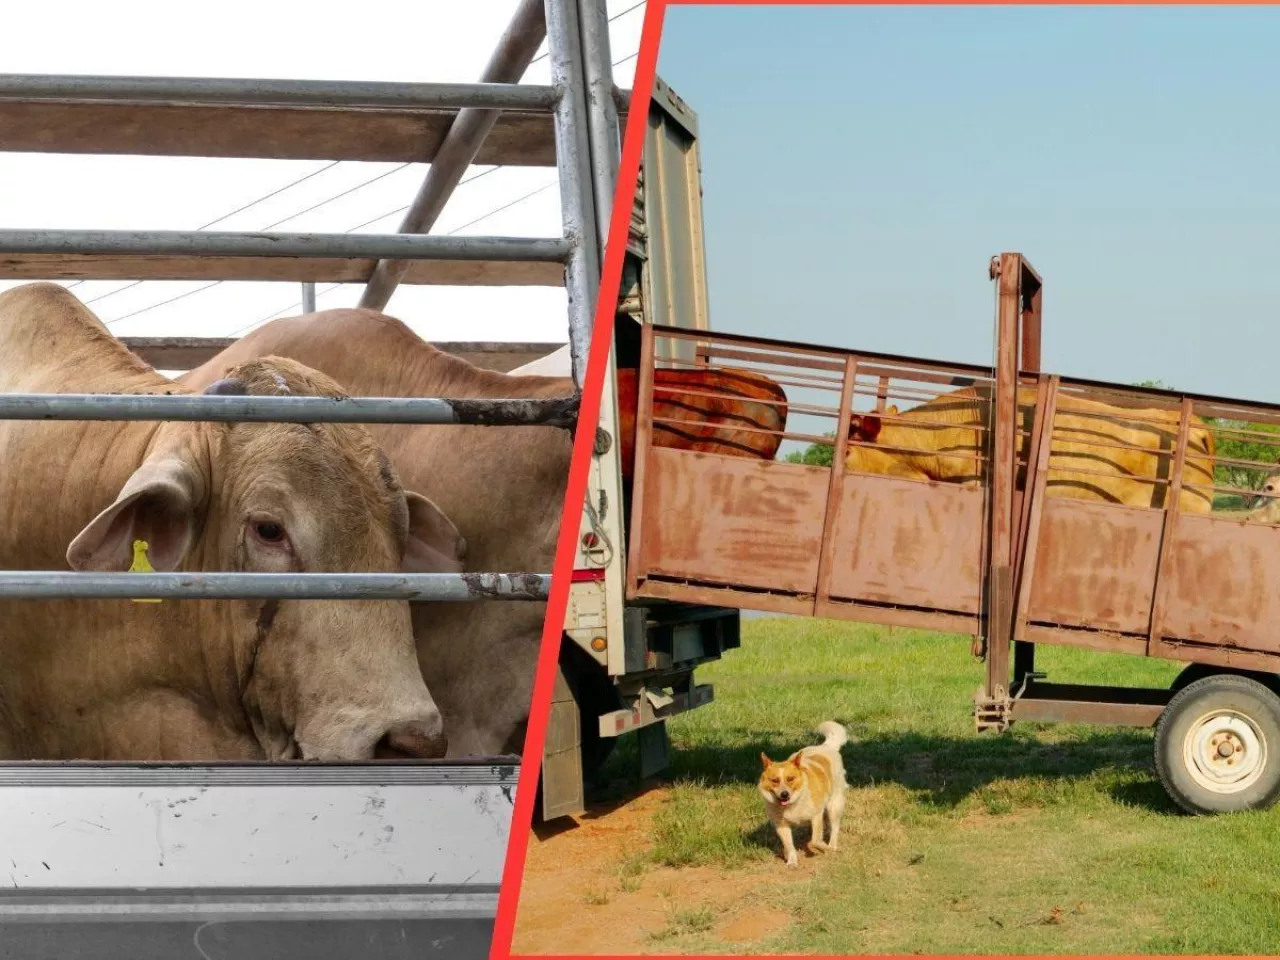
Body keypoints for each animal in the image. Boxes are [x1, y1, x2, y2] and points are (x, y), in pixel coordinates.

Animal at [757, 721, 849, 870]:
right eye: (775, 780)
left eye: (790, 778)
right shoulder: (782, 826)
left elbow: (815, 840)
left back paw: (832, 846)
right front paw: (792, 861)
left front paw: (824, 847)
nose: (784, 794)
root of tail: (826, 746)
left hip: (834, 804)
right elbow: (789, 846)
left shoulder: (816, 816)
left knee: (835, 827)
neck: (792, 803)